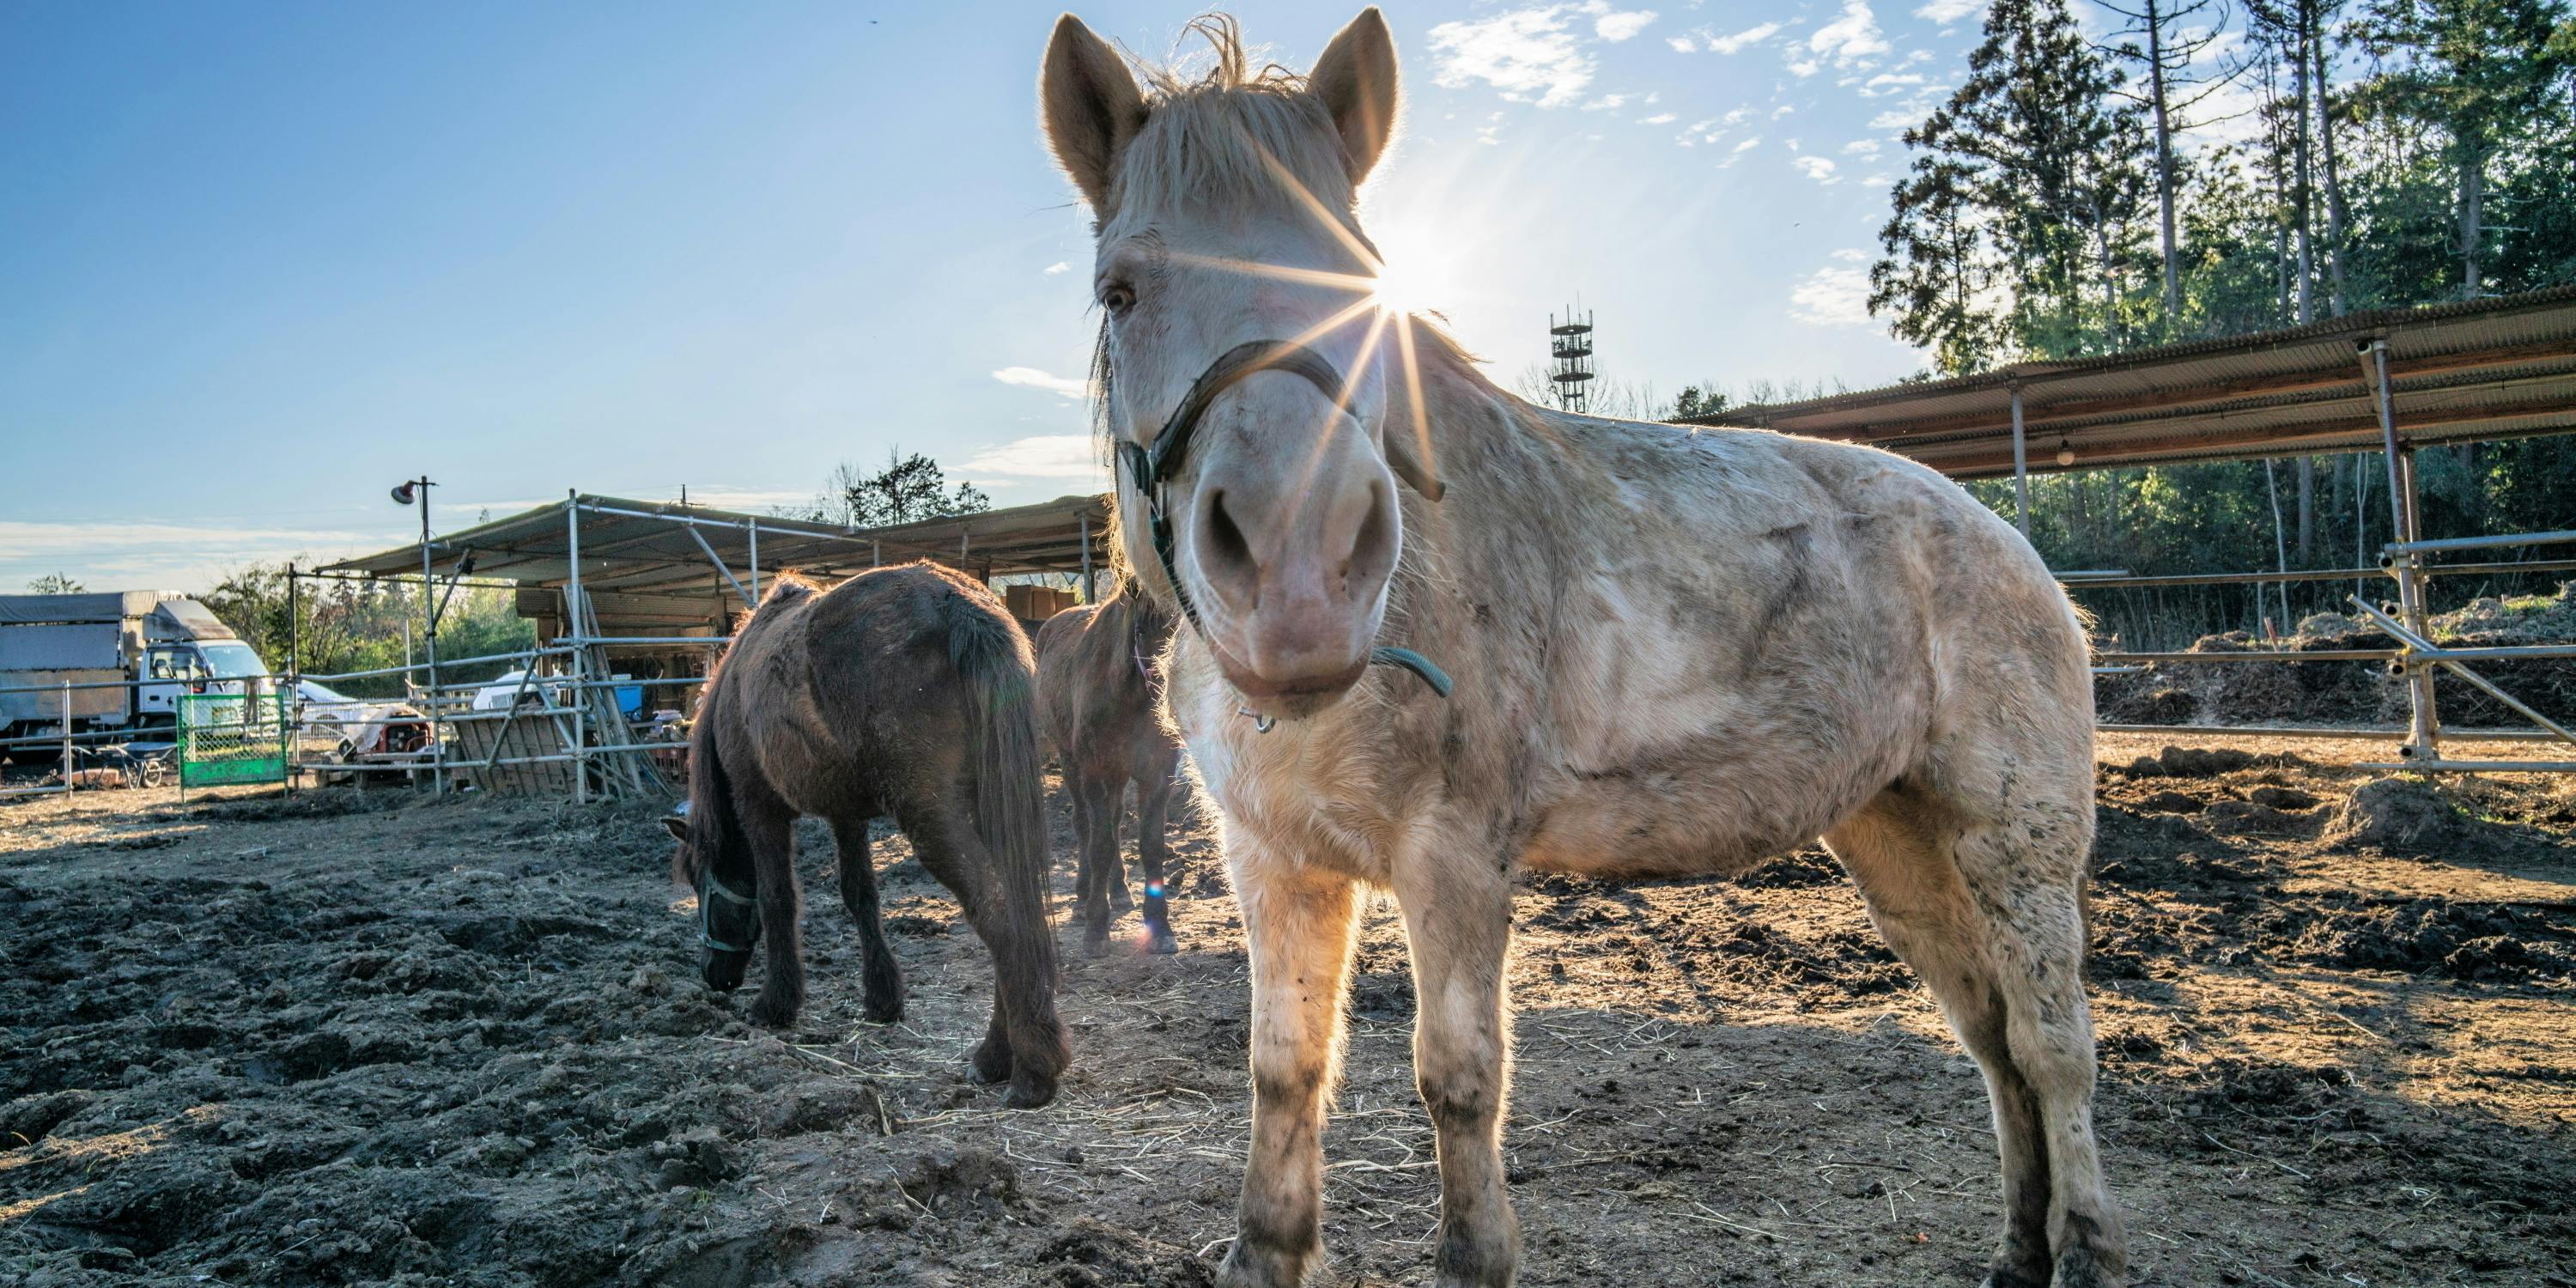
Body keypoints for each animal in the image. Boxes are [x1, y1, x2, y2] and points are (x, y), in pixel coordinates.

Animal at [670, 564, 1072, 1108]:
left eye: (699, 885)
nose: (713, 976)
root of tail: (954, 601)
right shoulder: (847, 815)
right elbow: (861, 895)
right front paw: (882, 997)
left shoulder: (759, 807)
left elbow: (777, 899)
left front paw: (777, 1003)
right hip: (989, 801)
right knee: (1017, 909)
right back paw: (997, 1056)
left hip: (930, 815)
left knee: (998, 911)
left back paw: (1029, 1069)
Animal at [1030, 580, 1180, 953]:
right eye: (1143, 628)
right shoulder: (1096, 772)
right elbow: (1099, 845)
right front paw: (1096, 927)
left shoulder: (1158, 774)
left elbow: (1151, 845)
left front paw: (1160, 926)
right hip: (1073, 762)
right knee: (1085, 824)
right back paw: (1084, 897)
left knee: (1113, 821)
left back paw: (1120, 889)